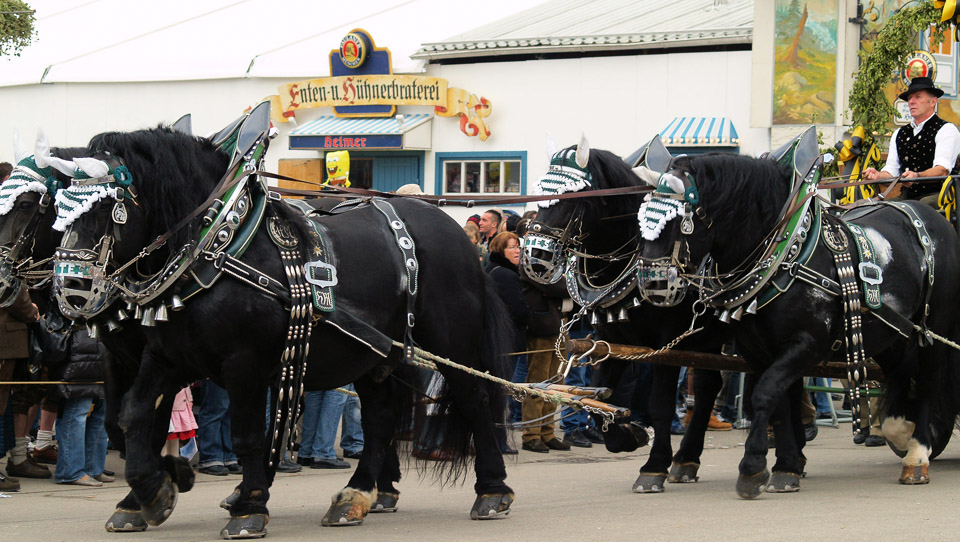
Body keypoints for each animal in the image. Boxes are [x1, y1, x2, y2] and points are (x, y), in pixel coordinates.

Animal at [48, 129, 512, 540]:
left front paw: (248, 506)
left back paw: (491, 491)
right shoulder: (164, 359)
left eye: (106, 208)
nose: (70, 288)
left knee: (472, 399)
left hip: (453, 343)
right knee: (381, 415)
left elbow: (247, 434)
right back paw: (357, 495)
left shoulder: (243, 363)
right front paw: (152, 493)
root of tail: (455, 232)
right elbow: (132, 416)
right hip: (371, 352)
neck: (220, 246)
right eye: (57, 212)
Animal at [520, 139, 808, 492]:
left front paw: (653, 465)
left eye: (574, 196)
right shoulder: (612, 342)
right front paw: (629, 436)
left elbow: (659, 405)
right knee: (716, 388)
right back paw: (692, 459)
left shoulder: (665, 345)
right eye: (541, 193)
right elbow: (598, 398)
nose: (535, 257)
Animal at [636, 141, 960, 498]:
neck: (787, 252)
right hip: (891, 332)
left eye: (676, 221)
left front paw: (752, 467)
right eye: (643, 220)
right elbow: (777, 402)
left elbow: (765, 393)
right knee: (902, 374)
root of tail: (931, 218)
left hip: (932, 328)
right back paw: (899, 428)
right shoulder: (757, 349)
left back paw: (917, 453)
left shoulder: (808, 343)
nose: (652, 284)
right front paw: (785, 466)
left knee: (929, 378)